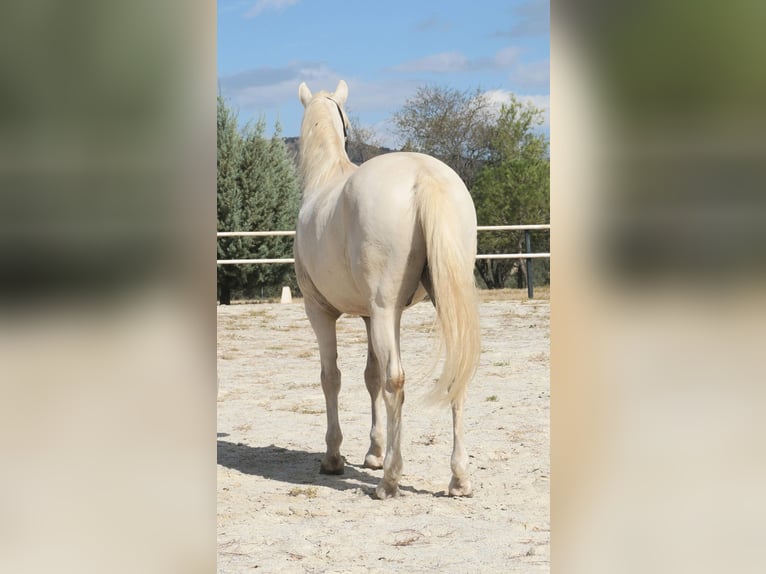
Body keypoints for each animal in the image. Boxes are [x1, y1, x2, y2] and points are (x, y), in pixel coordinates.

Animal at [294, 80, 480, 500]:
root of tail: (425, 176)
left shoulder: (320, 311)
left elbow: (333, 377)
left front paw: (335, 458)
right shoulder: (371, 315)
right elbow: (371, 377)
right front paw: (374, 452)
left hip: (382, 310)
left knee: (396, 381)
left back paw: (390, 481)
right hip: (429, 304)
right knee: (456, 377)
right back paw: (458, 479)